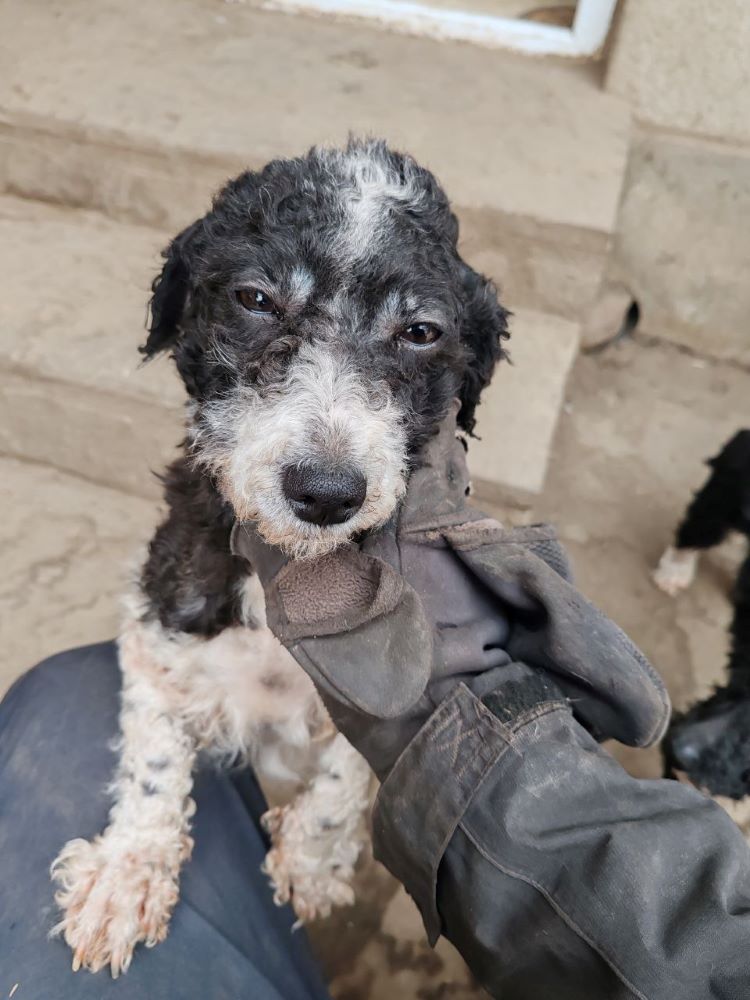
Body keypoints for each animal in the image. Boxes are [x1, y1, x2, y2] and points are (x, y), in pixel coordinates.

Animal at [50, 137, 512, 972]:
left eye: (421, 331)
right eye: (256, 299)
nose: (327, 493)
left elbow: (350, 767)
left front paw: (311, 861)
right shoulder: (163, 618)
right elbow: (153, 756)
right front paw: (127, 872)